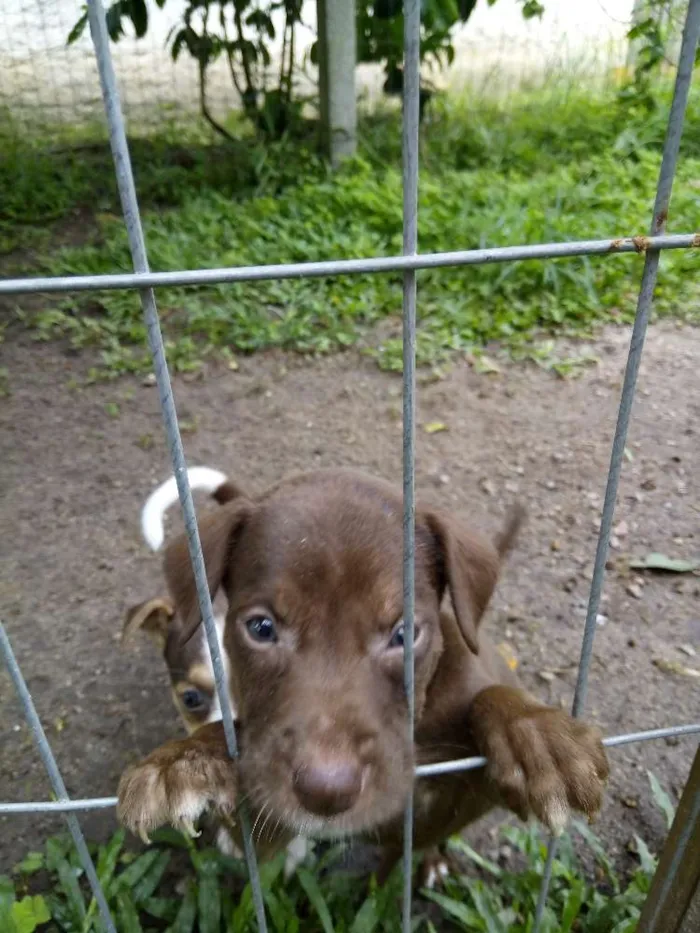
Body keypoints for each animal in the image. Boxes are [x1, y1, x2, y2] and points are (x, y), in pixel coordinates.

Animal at [116, 470, 608, 884]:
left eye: (405, 634)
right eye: (261, 628)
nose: (326, 792)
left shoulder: (468, 786)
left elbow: (488, 698)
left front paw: (539, 739)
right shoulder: (266, 818)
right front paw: (184, 760)